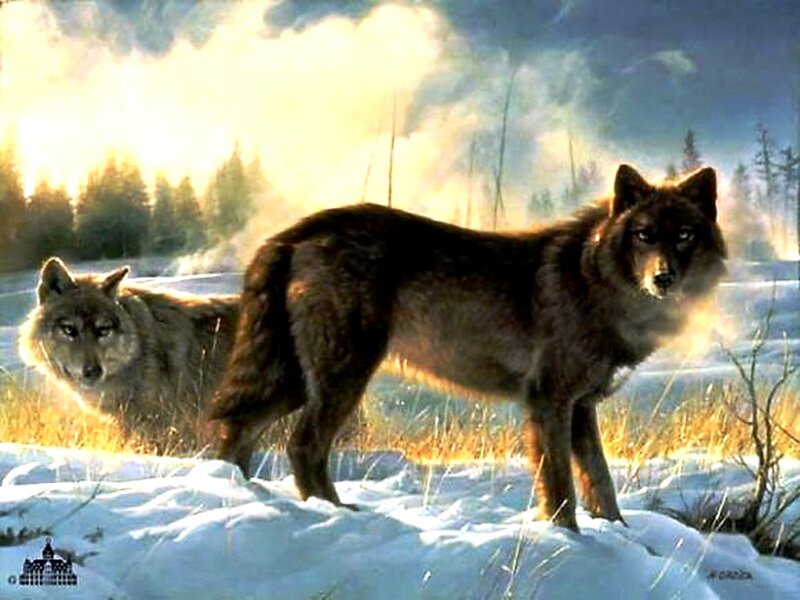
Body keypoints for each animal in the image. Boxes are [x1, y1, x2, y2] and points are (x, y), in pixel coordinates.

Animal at [210, 164, 726, 531]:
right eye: (644, 235)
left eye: (685, 235)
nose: (663, 278)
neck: (594, 281)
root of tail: (298, 230)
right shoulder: (549, 401)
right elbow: (561, 484)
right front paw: (569, 539)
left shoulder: (581, 407)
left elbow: (600, 483)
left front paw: (623, 539)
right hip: (342, 376)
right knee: (302, 445)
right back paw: (338, 514)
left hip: (296, 381)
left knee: (236, 430)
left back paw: (236, 497)